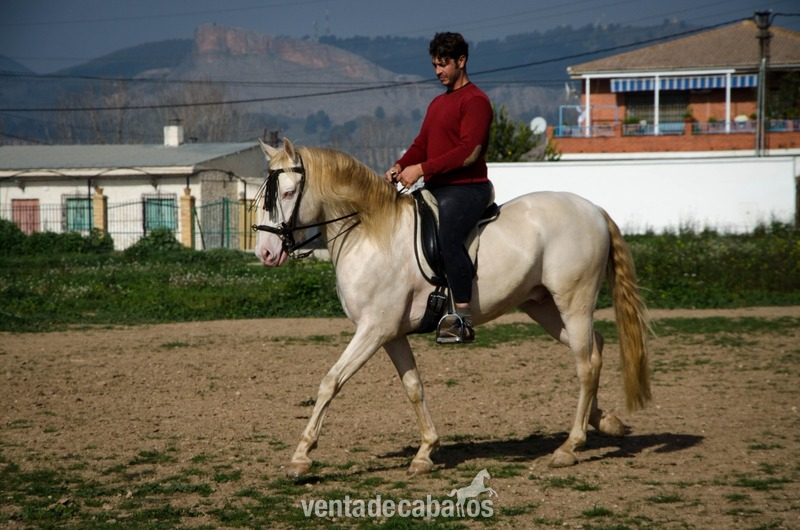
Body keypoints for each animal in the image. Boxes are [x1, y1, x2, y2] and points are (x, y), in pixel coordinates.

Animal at [253, 138, 651, 477]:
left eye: (287, 193)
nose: (266, 254)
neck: (368, 233)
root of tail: (592, 209)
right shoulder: (390, 333)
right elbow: (414, 387)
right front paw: (426, 452)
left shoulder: (373, 329)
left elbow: (330, 382)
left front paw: (301, 457)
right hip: (544, 307)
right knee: (593, 349)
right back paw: (604, 421)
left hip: (574, 300)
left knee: (585, 364)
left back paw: (570, 447)